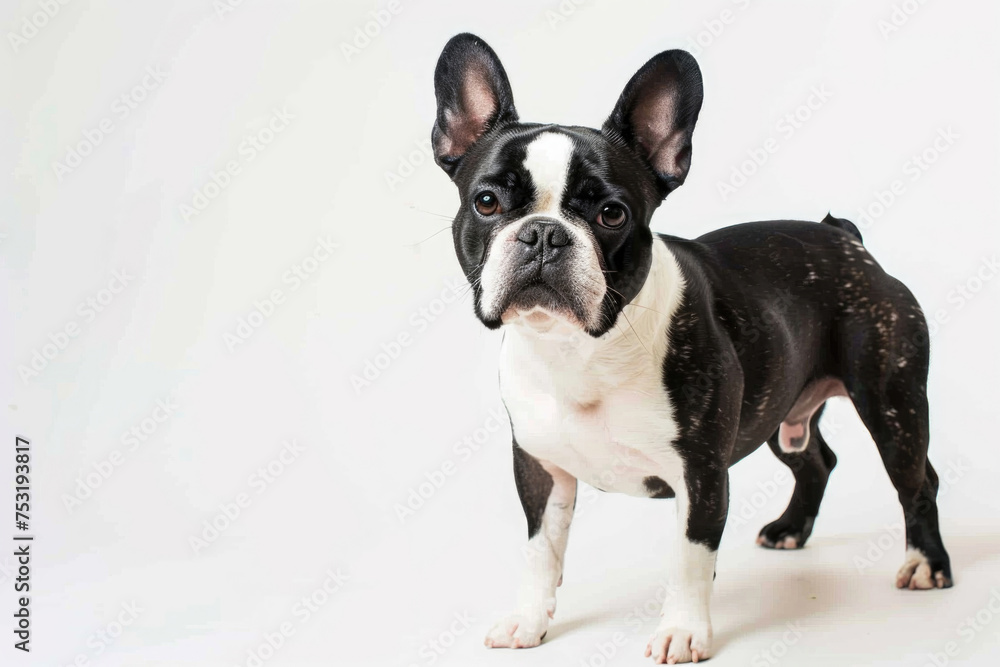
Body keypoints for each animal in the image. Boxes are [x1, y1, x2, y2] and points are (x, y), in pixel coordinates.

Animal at [430, 32, 952, 664]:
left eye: (611, 213)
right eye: (486, 202)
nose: (544, 233)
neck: (580, 351)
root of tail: (847, 240)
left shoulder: (701, 475)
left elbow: (689, 560)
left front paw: (682, 632)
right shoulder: (539, 468)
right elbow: (540, 553)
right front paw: (528, 622)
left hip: (891, 402)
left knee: (917, 479)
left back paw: (926, 564)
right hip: (778, 408)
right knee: (816, 461)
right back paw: (790, 530)